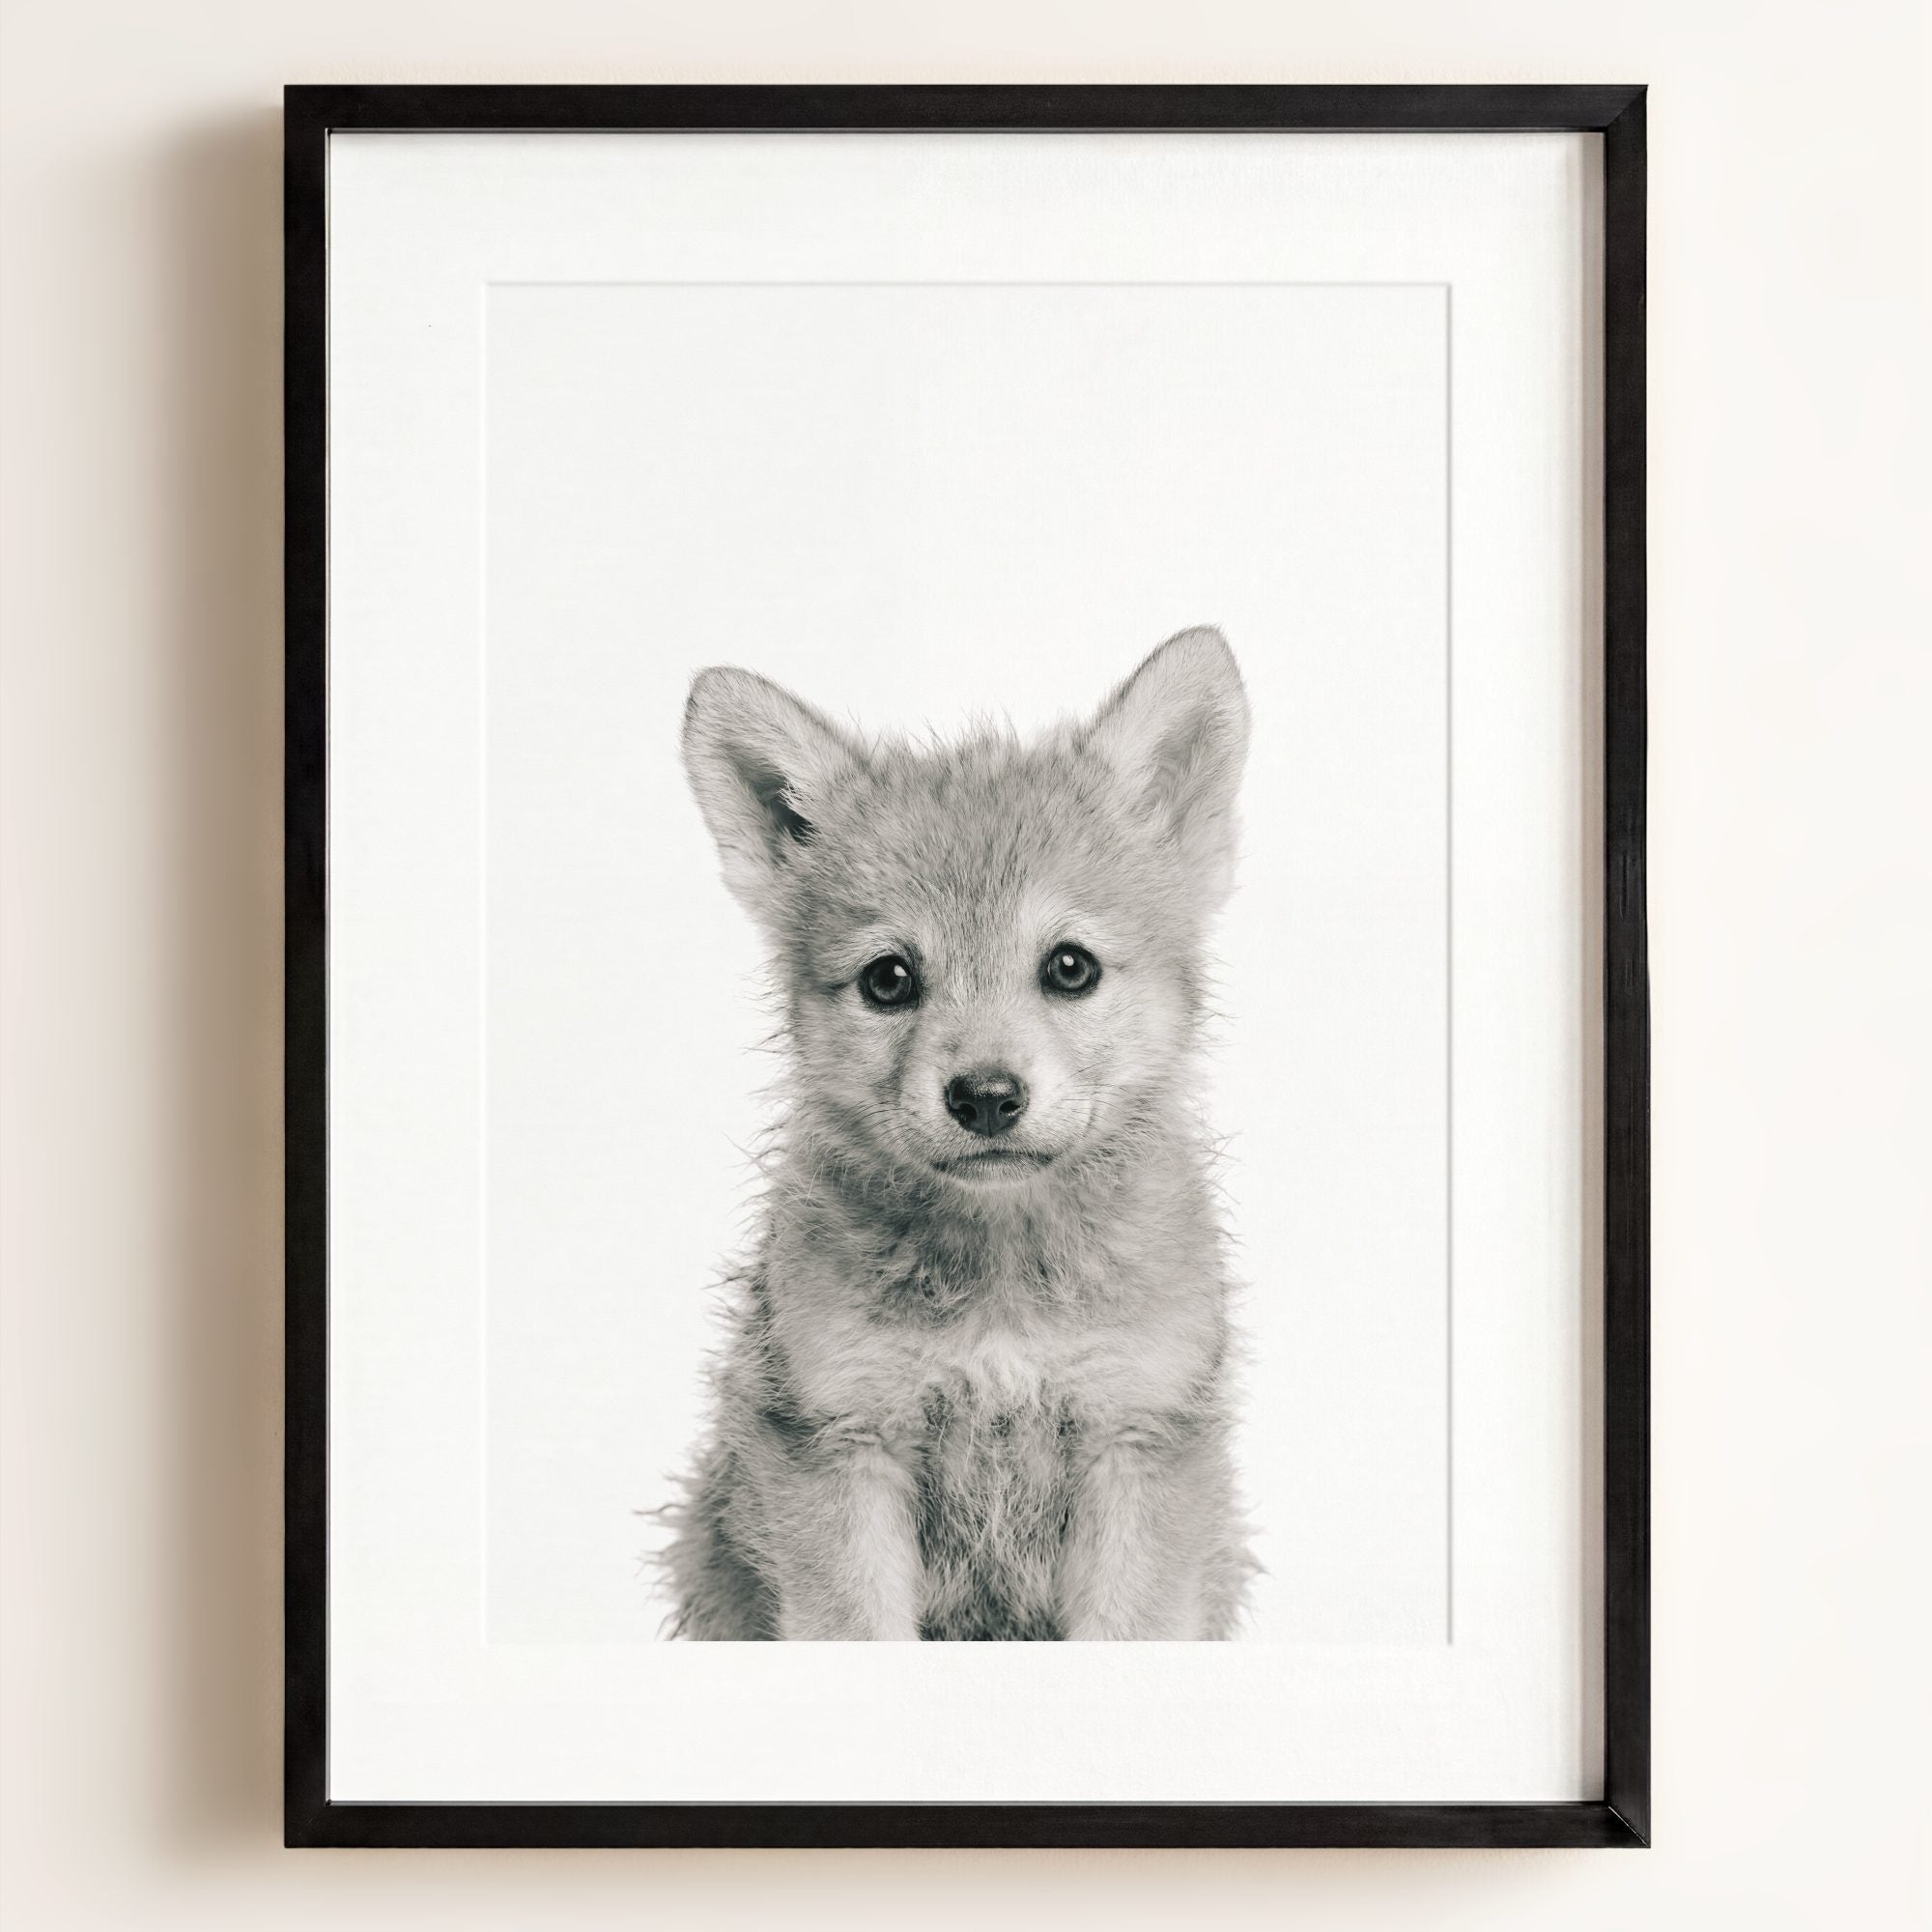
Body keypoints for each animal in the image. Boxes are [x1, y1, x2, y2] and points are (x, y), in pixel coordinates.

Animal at [661, 627, 1255, 1640]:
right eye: (888, 979)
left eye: (1069, 967)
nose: (984, 1097)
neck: (1002, 1290)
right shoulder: (842, 1444)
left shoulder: (1136, 1438)